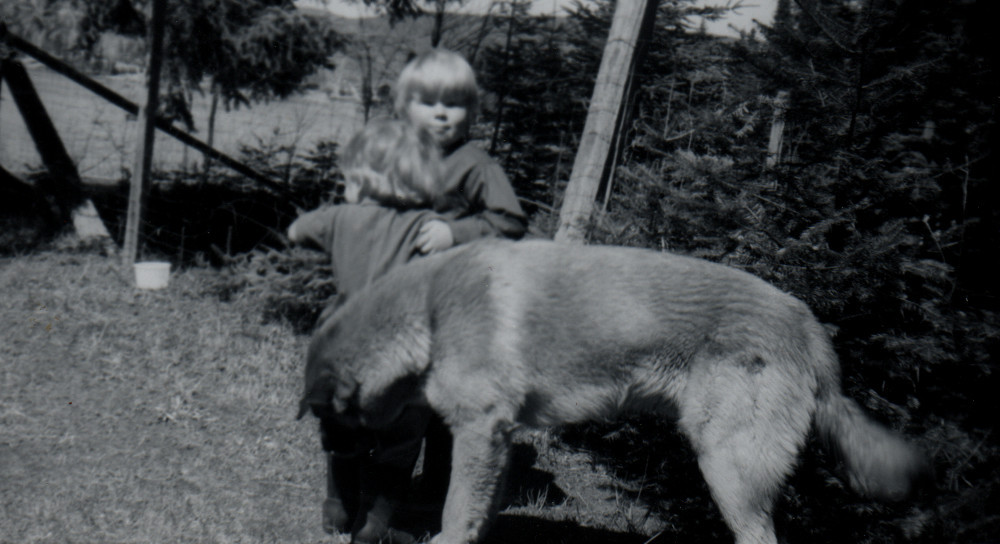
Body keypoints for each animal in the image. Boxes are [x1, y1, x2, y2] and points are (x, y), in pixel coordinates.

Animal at [298, 239, 928, 544]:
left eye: (330, 420)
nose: (334, 522)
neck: (428, 312)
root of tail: (810, 326)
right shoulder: (497, 440)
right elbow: (480, 513)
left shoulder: (478, 432)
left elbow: (455, 514)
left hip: (728, 469)